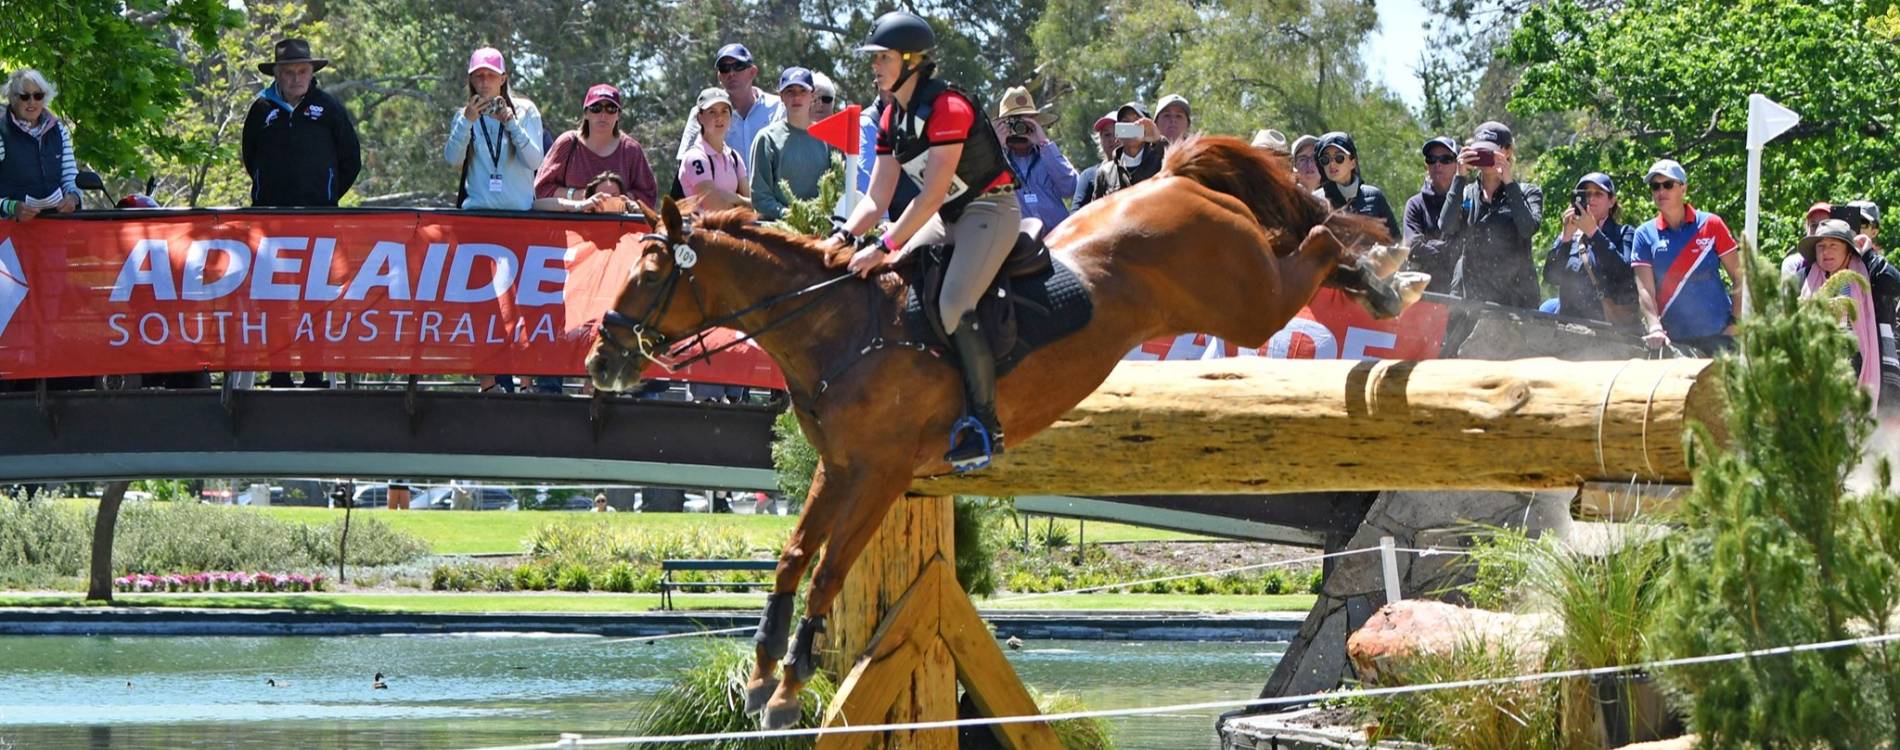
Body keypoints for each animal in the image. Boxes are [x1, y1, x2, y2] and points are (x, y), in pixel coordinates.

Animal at [585, 136, 1421, 729]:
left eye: (649, 273)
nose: (601, 361)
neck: (840, 327)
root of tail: (1176, 174)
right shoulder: (839, 468)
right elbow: (793, 559)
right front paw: (762, 679)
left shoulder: (881, 474)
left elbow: (826, 572)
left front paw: (789, 692)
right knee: (1303, 245)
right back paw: (1379, 275)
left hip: (1243, 303)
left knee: (1315, 246)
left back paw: (1388, 276)